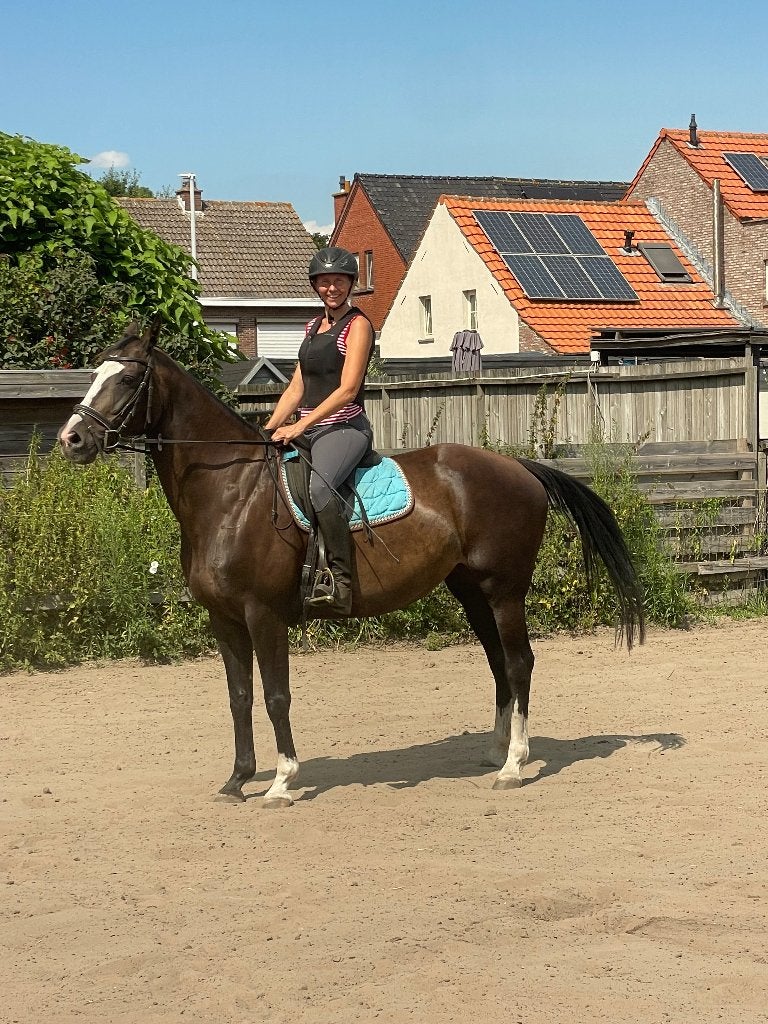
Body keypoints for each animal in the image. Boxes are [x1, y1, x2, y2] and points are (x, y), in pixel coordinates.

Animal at [58, 320, 645, 806]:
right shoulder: (223, 619)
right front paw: (237, 779)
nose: (72, 439)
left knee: (520, 662)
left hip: (504, 590)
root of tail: (519, 467)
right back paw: (495, 751)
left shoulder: (262, 614)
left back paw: (514, 766)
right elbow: (239, 697)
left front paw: (281, 782)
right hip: (471, 591)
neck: (232, 490)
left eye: (126, 379)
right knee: (499, 662)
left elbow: (275, 695)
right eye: (96, 373)